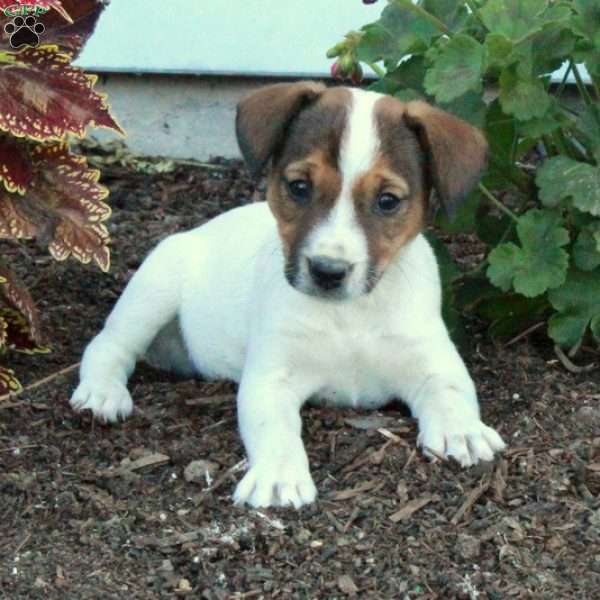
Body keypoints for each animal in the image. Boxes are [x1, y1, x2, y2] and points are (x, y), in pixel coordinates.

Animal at [74, 82, 506, 508]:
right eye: (300, 187)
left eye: (387, 201)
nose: (327, 271)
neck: (350, 315)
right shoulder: (272, 379)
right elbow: (276, 429)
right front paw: (279, 476)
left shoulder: (434, 362)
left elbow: (451, 393)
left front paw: (462, 431)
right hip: (154, 287)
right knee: (108, 345)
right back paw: (102, 393)